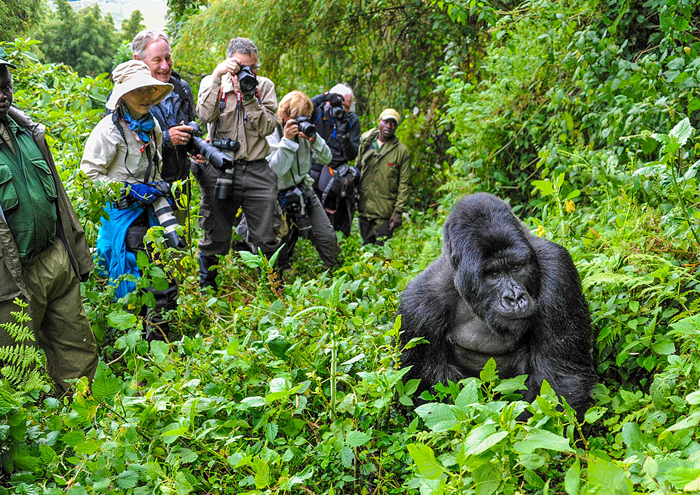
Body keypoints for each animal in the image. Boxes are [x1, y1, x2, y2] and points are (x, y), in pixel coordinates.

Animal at [400, 194, 596, 418]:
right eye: (493, 274)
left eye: (516, 267)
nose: (515, 298)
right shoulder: (417, 308)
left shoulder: (558, 270)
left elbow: (560, 379)